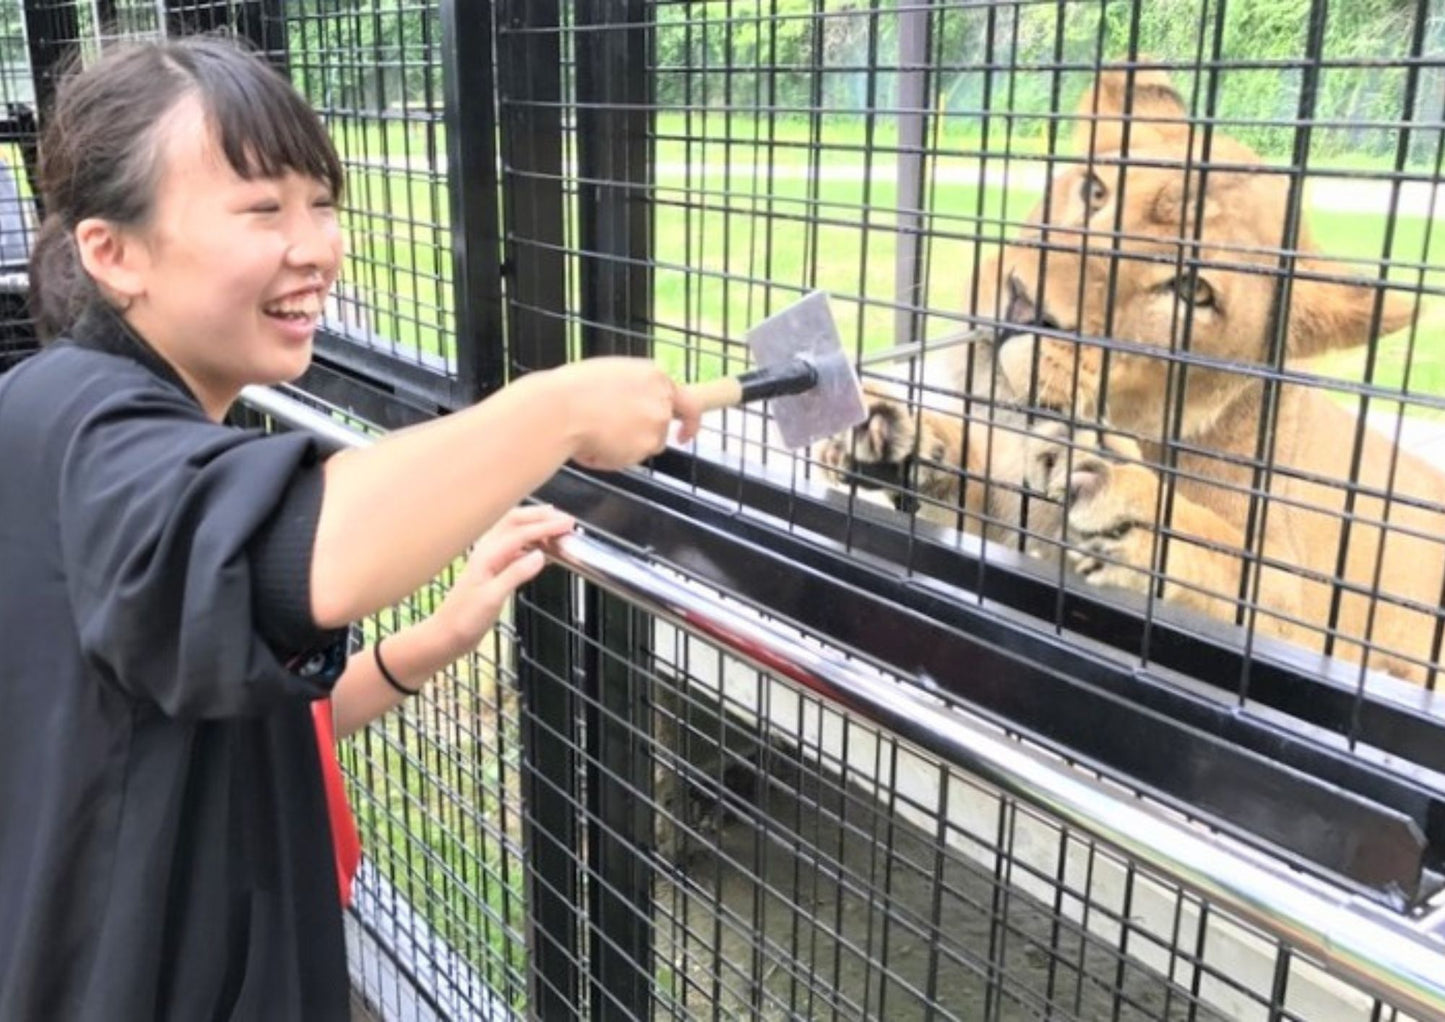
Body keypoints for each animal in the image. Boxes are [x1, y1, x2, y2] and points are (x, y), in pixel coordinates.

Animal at [820, 67, 1439, 682]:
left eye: (1192, 289)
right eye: (1096, 190)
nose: (1023, 304)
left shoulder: (1305, 629)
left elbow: (1242, 577)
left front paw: (1129, 505)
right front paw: (896, 432)